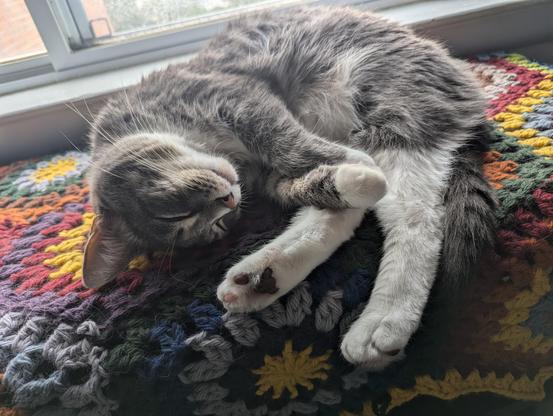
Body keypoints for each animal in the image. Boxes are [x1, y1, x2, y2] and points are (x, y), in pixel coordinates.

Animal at [83, 6, 496, 368]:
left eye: (174, 213)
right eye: (213, 226)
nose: (226, 201)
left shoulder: (238, 98)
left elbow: (283, 137)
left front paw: (352, 159)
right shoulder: (267, 179)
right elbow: (310, 184)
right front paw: (342, 174)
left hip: (391, 104)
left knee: (415, 216)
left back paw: (383, 318)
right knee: (346, 214)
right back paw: (261, 276)